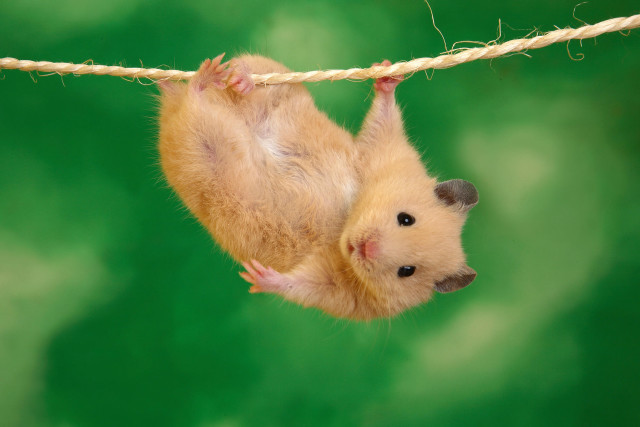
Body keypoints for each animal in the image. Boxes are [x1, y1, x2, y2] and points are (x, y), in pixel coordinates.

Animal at [157, 54, 478, 320]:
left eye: (407, 271)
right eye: (406, 218)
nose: (365, 248)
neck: (346, 222)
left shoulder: (340, 292)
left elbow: (301, 285)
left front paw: (257, 276)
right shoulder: (382, 153)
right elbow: (383, 121)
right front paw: (387, 73)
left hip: (202, 150)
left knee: (193, 107)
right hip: (278, 86)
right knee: (251, 72)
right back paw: (230, 77)